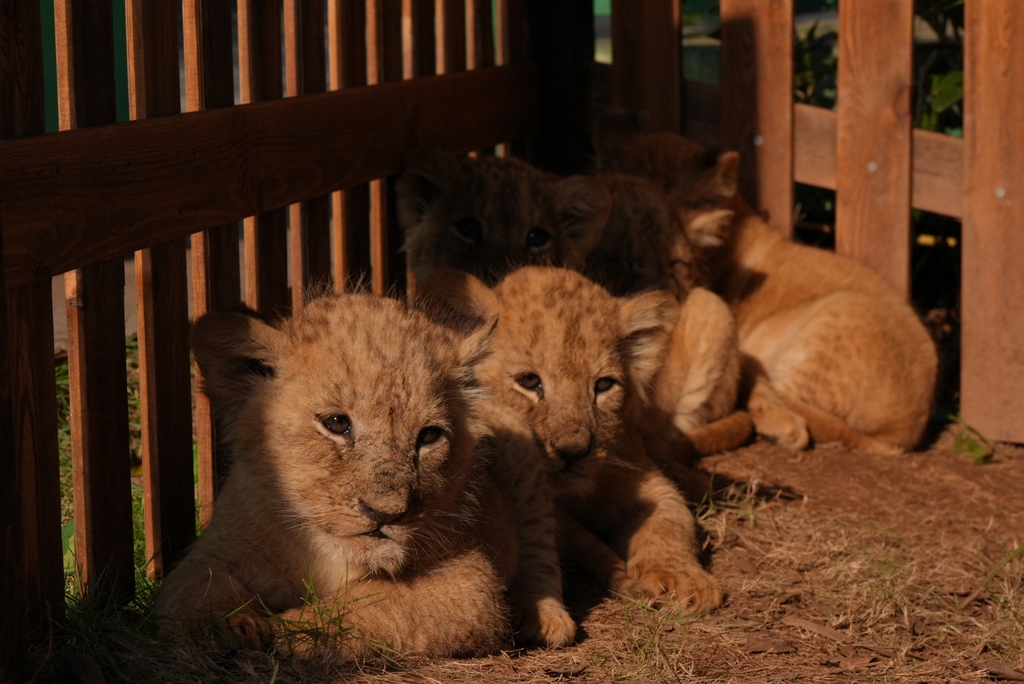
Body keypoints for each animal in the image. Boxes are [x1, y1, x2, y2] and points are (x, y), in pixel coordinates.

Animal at [154, 293, 575, 658]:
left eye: (429, 436)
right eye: (337, 423)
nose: (387, 514)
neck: (324, 553)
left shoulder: (470, 582)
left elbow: (370, 608)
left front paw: (284, 631)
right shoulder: (216, 549)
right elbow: (198, 591)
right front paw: (227, 626)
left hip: (526, 463)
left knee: (540, 549)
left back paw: (546, 620)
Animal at [419, 266, 723, 613]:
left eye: (603, 385)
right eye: (529, 381)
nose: (572, 452)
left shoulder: (641, 475)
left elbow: (670, 522)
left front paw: (687, 579)